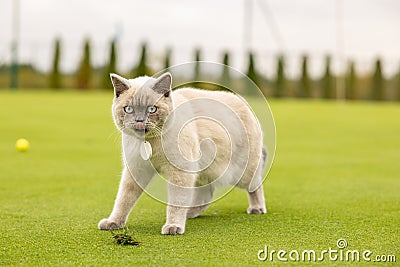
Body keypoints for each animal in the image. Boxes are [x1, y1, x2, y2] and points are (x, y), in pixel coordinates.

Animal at [97, 72, 268, 236]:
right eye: (128, 109)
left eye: (152, 109)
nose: (139, 120)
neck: (148, 143)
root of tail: (244, 103)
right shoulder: (136, 170)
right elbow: (123, 199)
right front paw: (113, 222)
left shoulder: (179, 172)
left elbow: (176, 202)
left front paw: (173, 226)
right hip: (204, 171)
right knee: (206, 195)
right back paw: (189, 214)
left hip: (241, 173)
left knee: (255, 185)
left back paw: (257, 208)